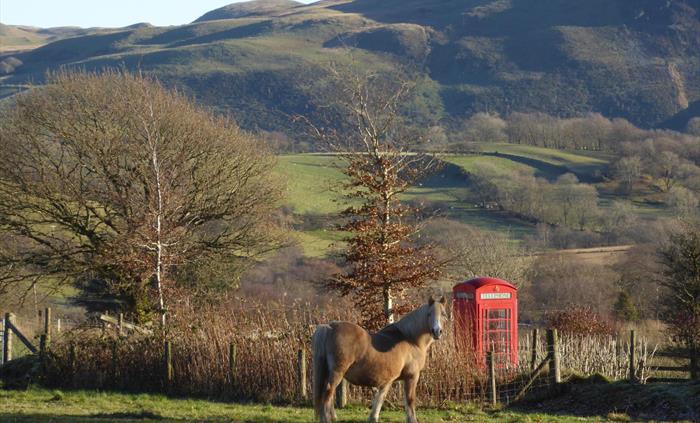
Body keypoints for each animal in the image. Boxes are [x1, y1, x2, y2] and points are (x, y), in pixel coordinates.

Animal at [312, 296, 447, 423]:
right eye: (429, 314)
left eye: (443, 313)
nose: (437, 331)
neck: (410, 339)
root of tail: (330, 327)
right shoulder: (412, 376)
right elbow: (409, 400)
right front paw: (412, 420)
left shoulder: (389, 380)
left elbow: (380, 398)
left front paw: (373, 418)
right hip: (337, 372)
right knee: (328, 393)